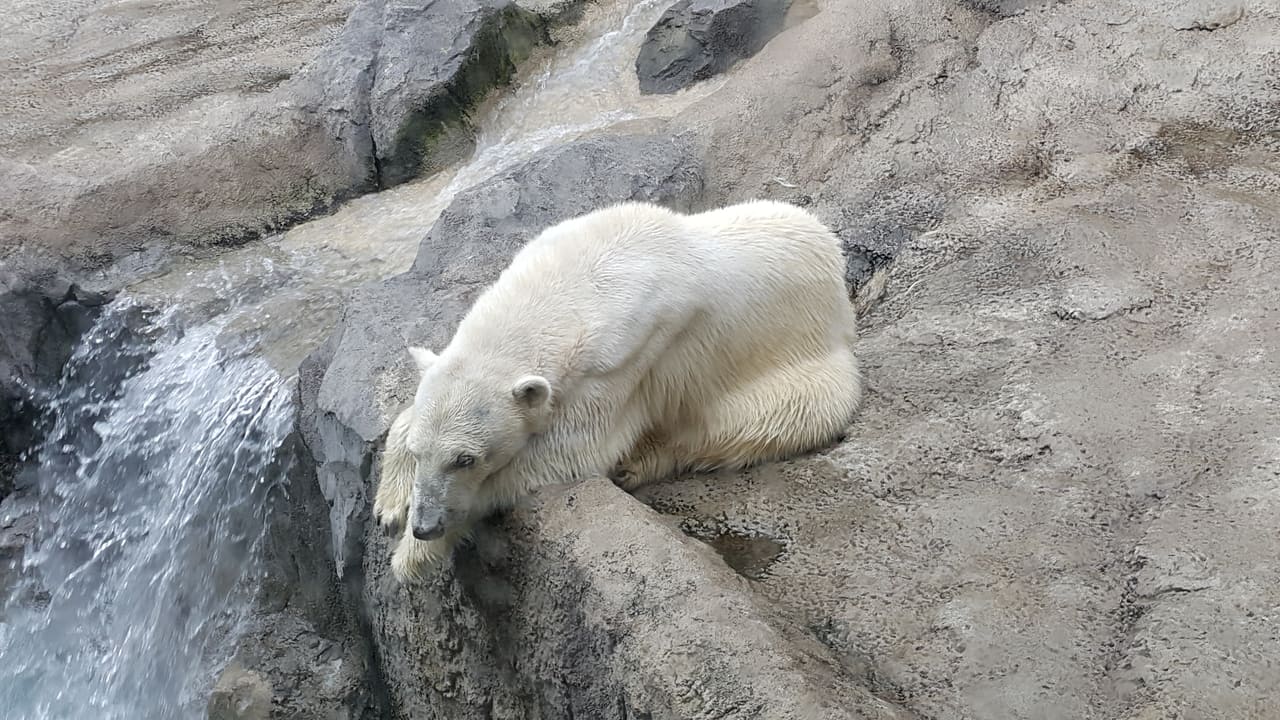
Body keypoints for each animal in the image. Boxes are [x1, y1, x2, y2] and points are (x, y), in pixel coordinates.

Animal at [374, 199, 863, 583]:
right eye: (420, 453)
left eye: (465, 459)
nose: (425, 525)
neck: (575, 280)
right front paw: (389, 503)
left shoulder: (627, 357)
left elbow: (574, 450)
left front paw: (412, 556)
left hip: (800, 367)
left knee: (753, 424)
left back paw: (639, 464)